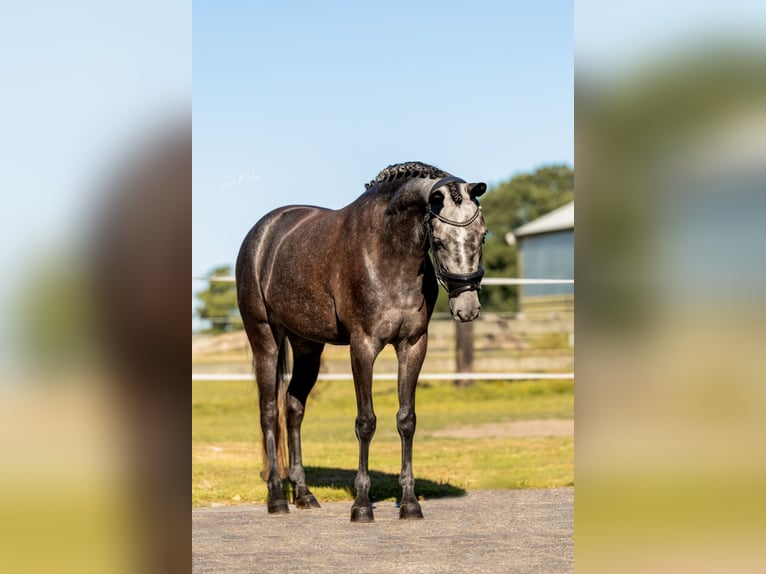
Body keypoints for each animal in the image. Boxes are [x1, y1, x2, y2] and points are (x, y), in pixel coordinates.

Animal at [236, 161, 487, 522]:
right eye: (438, 241)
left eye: (482, 234)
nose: (467, 308)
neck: (389, 252)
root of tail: (263, 232)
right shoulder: (363, 346)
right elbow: (366, 422)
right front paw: (362, 505)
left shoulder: (413, 346)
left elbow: (406, 420)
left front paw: (409, 503)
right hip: (265, 340)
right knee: (269, 412)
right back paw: (277, 499)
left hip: (307, 347)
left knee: (293, 408)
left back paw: (304, 493)